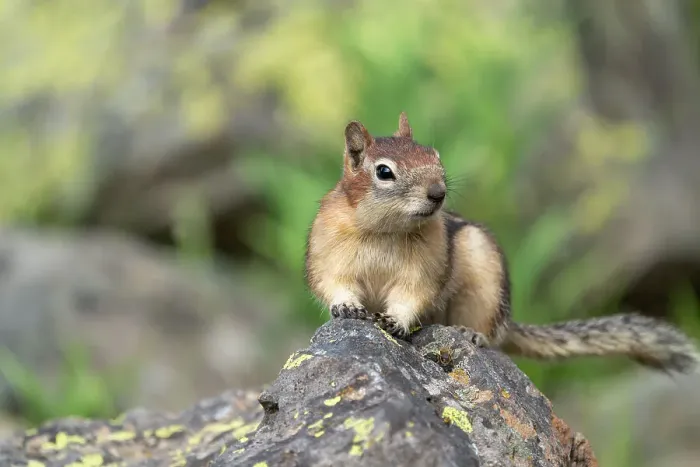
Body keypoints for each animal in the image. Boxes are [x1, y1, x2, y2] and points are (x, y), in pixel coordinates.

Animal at [304, 112, 700, 374]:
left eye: (435, 155)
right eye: (384, 171)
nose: (438, 193)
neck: (386, 231)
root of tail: (509, 322)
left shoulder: (427, 266)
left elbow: (413, 293)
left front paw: (396, 322)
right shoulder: (327, 251)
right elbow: (332, 283)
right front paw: (347, 307)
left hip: (484, 282)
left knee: (489, 334)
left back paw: (471, 334)